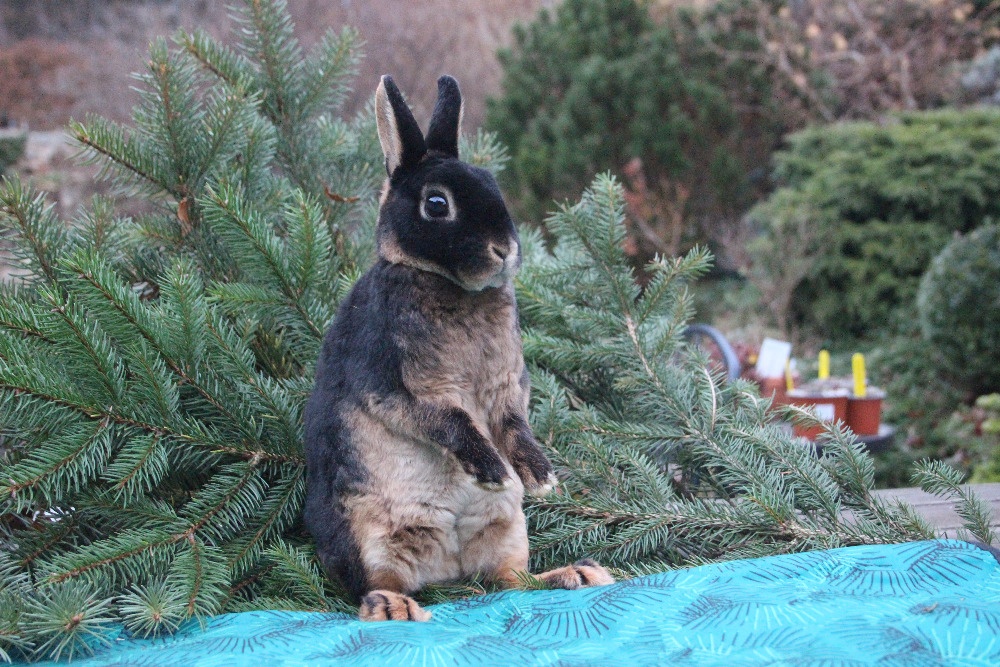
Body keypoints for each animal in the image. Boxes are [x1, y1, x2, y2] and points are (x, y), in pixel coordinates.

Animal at [302, 75, 616, 624]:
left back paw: (577, 575)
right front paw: (492, 470)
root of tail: (446, 570)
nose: (505, 249)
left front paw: (540, 478)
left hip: (508, 530)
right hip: (367, 534)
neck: (450, 286)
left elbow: (514, 425)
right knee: (374, 586)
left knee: (511, 581)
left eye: (493, 184)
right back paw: (395, 608)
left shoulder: (507, 388)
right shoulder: (397, 385)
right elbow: (448, 421)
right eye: (436, 204)